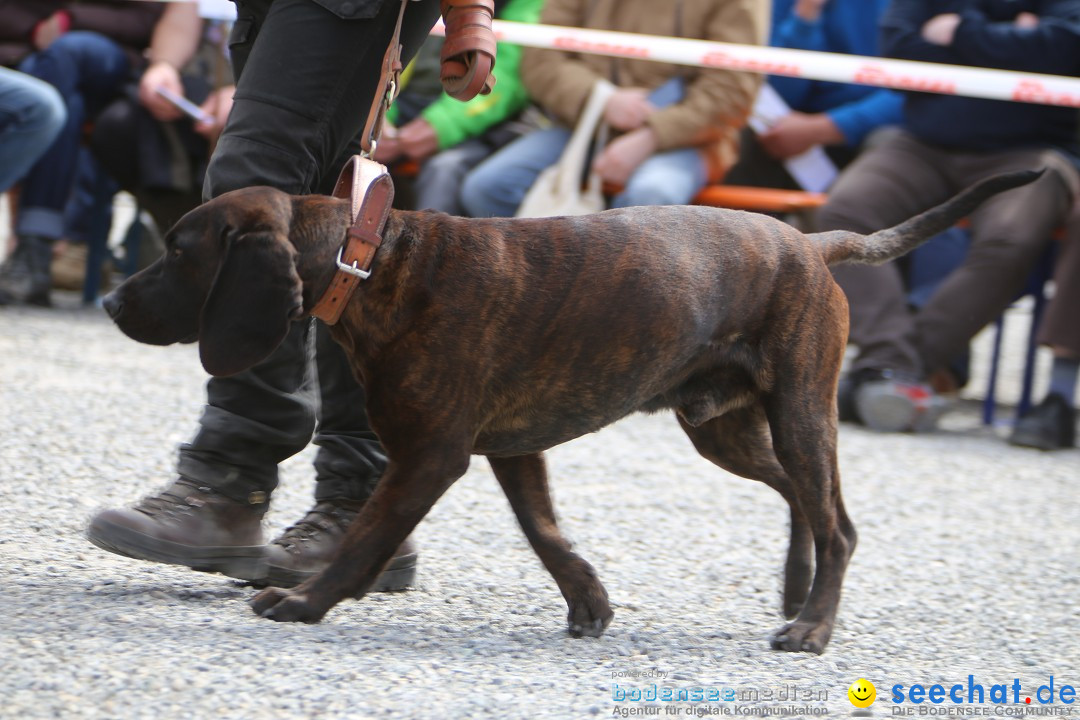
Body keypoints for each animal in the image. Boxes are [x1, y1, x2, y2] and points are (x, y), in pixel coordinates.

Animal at [101, 171, 1036, 656]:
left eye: (180, 250)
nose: (110, 299)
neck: (372, 263)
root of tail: (807, 242)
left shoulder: (431, 455)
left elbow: (367, 537)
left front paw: (306, 601)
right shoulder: (512, 449)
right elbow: (546, 532)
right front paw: (589, 598)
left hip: (801, 412)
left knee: (838, 520)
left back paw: (812, 624)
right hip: (727, 429)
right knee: (802, 502)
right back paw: (796, 587)